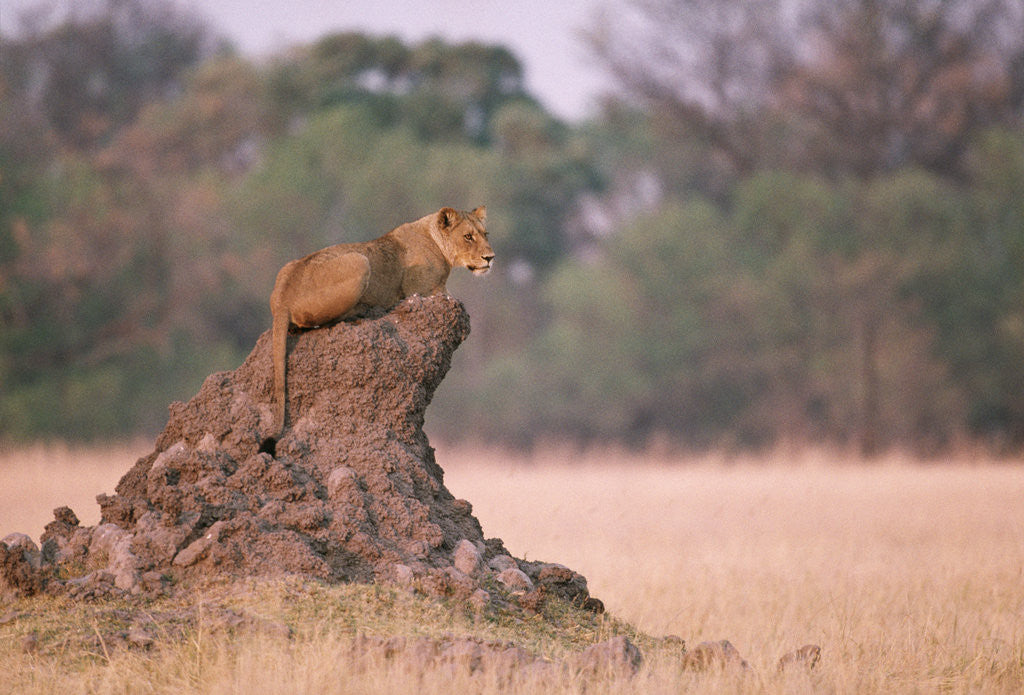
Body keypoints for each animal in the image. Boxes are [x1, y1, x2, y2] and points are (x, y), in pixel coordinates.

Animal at [264, 206, 493, 446]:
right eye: (468, 236)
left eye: (485, 234)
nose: (490, 258)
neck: (435, 240)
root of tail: (283, 298)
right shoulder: (423, 290)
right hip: (360, 261)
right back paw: (364, 310)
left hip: (290, 267)